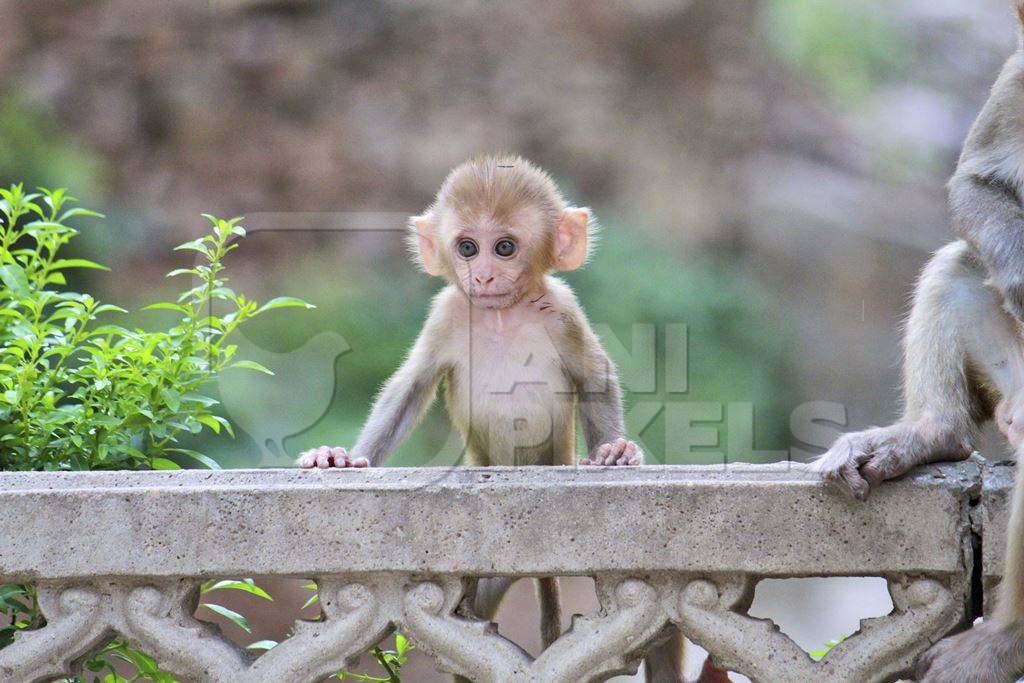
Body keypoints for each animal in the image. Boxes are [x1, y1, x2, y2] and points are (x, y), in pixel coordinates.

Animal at [815, 3, 1024, 679]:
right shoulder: (1022, 74)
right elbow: (977, 181)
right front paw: (1023, 276)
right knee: (957, 263)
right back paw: (929, 432)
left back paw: (1003, 640)